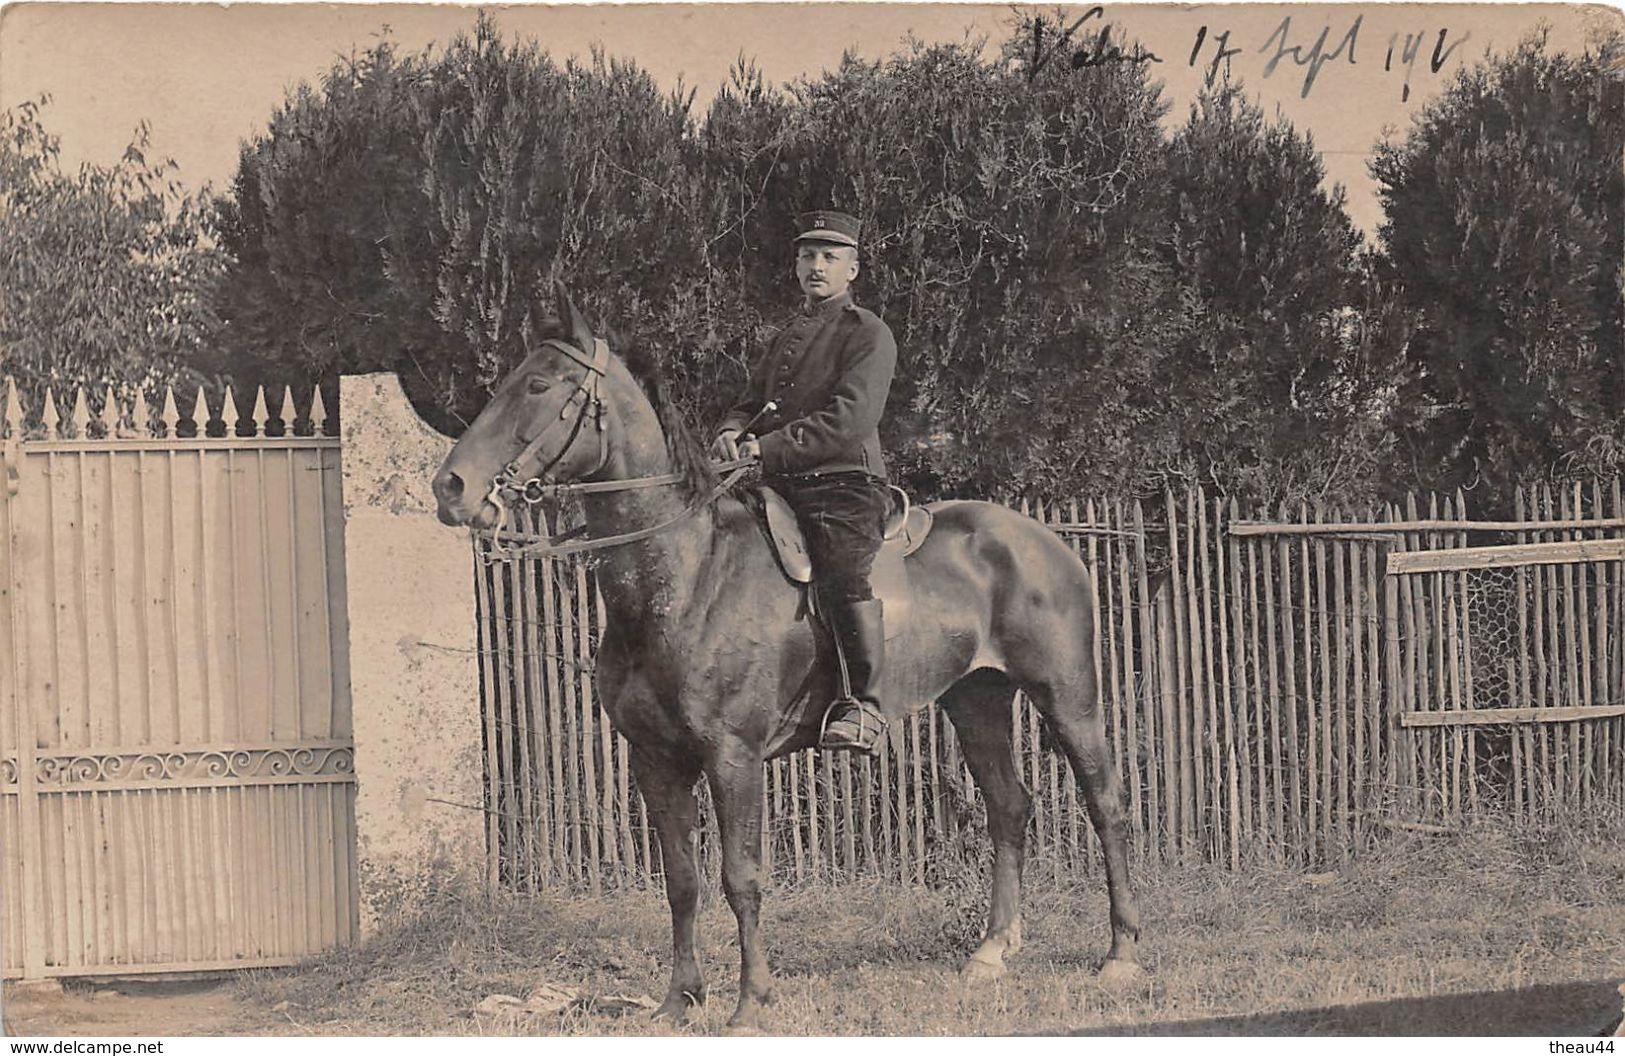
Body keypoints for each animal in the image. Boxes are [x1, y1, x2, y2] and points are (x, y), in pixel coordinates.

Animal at [432, 287, 1144, 1026]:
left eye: (540, 385)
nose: (451, 487)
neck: (687, 573)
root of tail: (1046, 539)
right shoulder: (655, 761)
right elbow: (681, 881)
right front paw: (680, 1000)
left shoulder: (733, 757)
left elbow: (740, 878)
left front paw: (752, 1000)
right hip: (975, 701)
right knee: (1009, 808)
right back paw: (991, 953)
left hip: (1067, 697)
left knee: (1106, 806)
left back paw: (1120, 954)